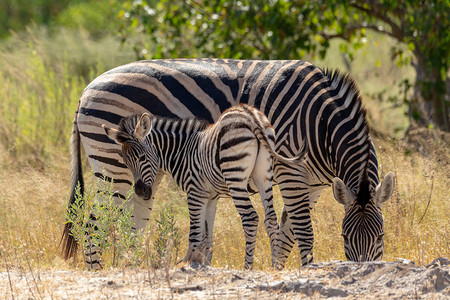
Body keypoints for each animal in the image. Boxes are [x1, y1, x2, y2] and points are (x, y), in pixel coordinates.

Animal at [102, 103, 306, 270]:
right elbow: (207, 233)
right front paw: (203, 262)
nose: (140, 191)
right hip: (264, 174)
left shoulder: (195, 193)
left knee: (250, 218)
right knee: (270, 219)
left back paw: (248, 267)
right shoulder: (211, 197)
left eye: (142, 158)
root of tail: (250, 115)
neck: (181, 151)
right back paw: (274, 266)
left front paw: (188, 262)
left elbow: (195, 231)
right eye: (125, 161)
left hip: (235, 175)